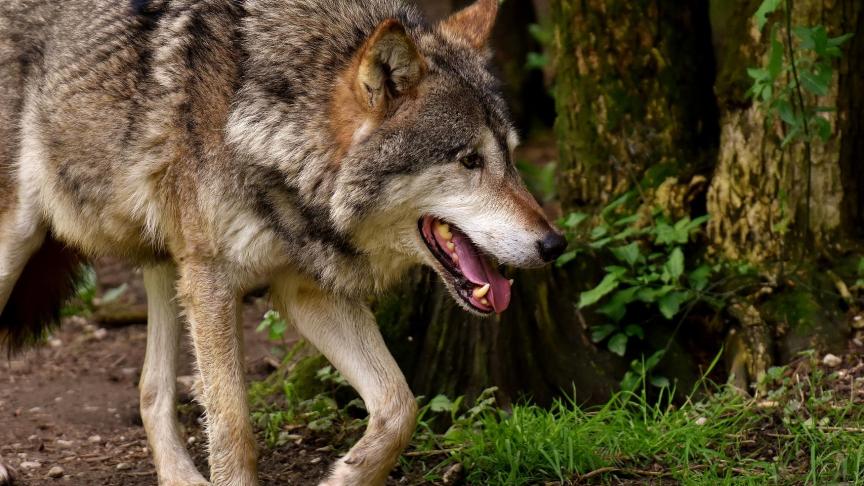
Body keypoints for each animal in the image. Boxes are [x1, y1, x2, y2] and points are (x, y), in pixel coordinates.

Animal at [0, 0, 566, 484]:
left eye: (511, 157)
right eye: (469, 160)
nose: (554, 244)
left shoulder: (304, 289)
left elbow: (399, 407)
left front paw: (345, 476)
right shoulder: (213, 283)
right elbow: (234, 429)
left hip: (167, 262)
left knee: (151, 390)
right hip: (22, 240)